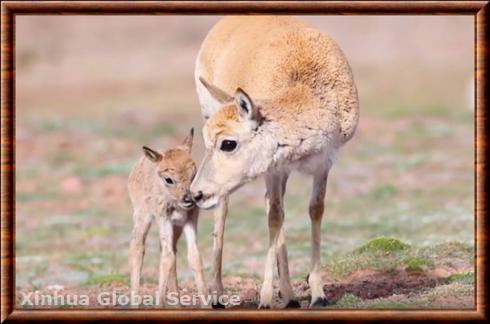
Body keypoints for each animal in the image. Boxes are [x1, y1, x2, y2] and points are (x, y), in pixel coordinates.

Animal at [127, 130, 206, 306]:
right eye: (169, 179)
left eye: (194, 175)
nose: (189, 199)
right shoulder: (164, 219)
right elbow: (167, 258)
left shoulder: (189, 221)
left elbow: (194, 257)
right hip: (143, 217)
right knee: (137, 247)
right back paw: (135, 302)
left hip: (175, 229)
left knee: (171, 251)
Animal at [191, 15, 360, 308]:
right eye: (210, 141)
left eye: (228, 143)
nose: (196, 194)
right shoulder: (274, 169)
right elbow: (274, 217)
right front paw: (266, 297)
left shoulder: (323, 163)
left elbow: (315, 209)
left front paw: (317, 294)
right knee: (227, 208)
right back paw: (219, 294)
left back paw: (289, 294)